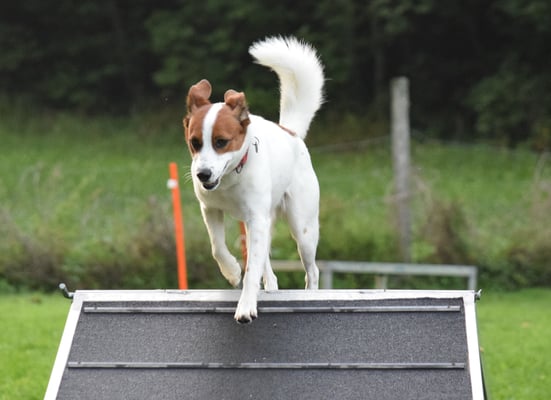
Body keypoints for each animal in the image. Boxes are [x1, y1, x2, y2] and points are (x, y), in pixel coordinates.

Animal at [183, 36, 324, 323]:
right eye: (195, 142)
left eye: (221, 142)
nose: (202, 175)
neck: (229, 178)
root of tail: (290, 132)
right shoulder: (210, 209)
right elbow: (218, 248)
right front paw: (232, 271)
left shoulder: (256, 219)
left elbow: (252, 270)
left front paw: (246, 305)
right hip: (260, 223)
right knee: (265, 264)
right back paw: (268, 284)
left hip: (302, 228)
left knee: (312, 269)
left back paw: (310, 293)